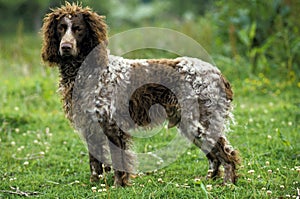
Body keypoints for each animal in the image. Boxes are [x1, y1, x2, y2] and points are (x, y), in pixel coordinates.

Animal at [41, 1, 240, 187]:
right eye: (61, 28)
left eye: (78, 29)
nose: (65, 47)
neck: (87, 72)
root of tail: (218, 73)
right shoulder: (91, 127)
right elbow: (95, 163)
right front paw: (95, 185)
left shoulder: (112, 126)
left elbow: (118, 162)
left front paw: (118, 185)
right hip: (191, 124)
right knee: (214, 156)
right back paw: (209, 181)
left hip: (198, 124)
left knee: (227, 155)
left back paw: (227, 183)